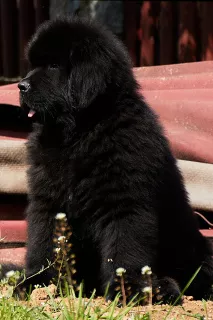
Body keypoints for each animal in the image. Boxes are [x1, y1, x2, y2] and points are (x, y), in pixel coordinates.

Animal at [3, 17, 213, 302]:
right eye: (33, 64)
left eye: (54, 65)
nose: (21, 86)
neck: (79, 133)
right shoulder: (48, 200)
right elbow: (43, 243)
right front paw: (38, 282)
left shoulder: (124, 203)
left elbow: (124, 250)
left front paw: (127, 289)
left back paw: (161, 288)